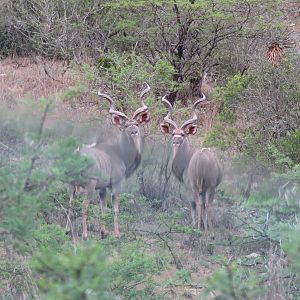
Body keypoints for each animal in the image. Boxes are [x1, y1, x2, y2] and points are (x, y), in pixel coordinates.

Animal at [65, 84, 150, 239]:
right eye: (125, 126)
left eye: (136, 123)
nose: (134, 131)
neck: (120, 153)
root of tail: (77, 153)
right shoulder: (116, 184)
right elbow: (115, 208)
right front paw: (117, 234)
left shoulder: (102, 189)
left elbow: (103, 208)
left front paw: (103, 232)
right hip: (88, 186)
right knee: (84, 206)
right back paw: (85, 235)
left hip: (71, 185)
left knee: (71, 203)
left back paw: (67, 230)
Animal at [161, 95, 221, 233]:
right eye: (173, 133)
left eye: (183, 134)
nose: (176, 141)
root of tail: (202, 161)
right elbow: (203, 205)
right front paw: (204, 226)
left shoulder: (189, 186)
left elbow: (192, 203)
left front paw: (194, 225)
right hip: (210, 187)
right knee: (207, 204)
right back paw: (210, 231)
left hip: (198, 187)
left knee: (198, 203)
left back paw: (198, 228)